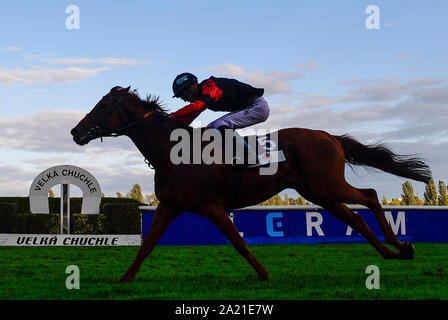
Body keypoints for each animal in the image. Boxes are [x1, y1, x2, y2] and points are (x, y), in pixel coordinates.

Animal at [71, 86, 434, 282]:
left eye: (103, 105)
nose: (75, 131)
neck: (173, 151)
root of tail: (331, 137)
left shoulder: (211, 206)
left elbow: (238, 242)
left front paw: (263, 273)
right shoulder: (171, 205)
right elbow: (147, 245)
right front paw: (124, 279)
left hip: (327, 186)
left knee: (370, 197)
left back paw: (400, 245)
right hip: (319, 192)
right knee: (355, 218)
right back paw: (392, 253)